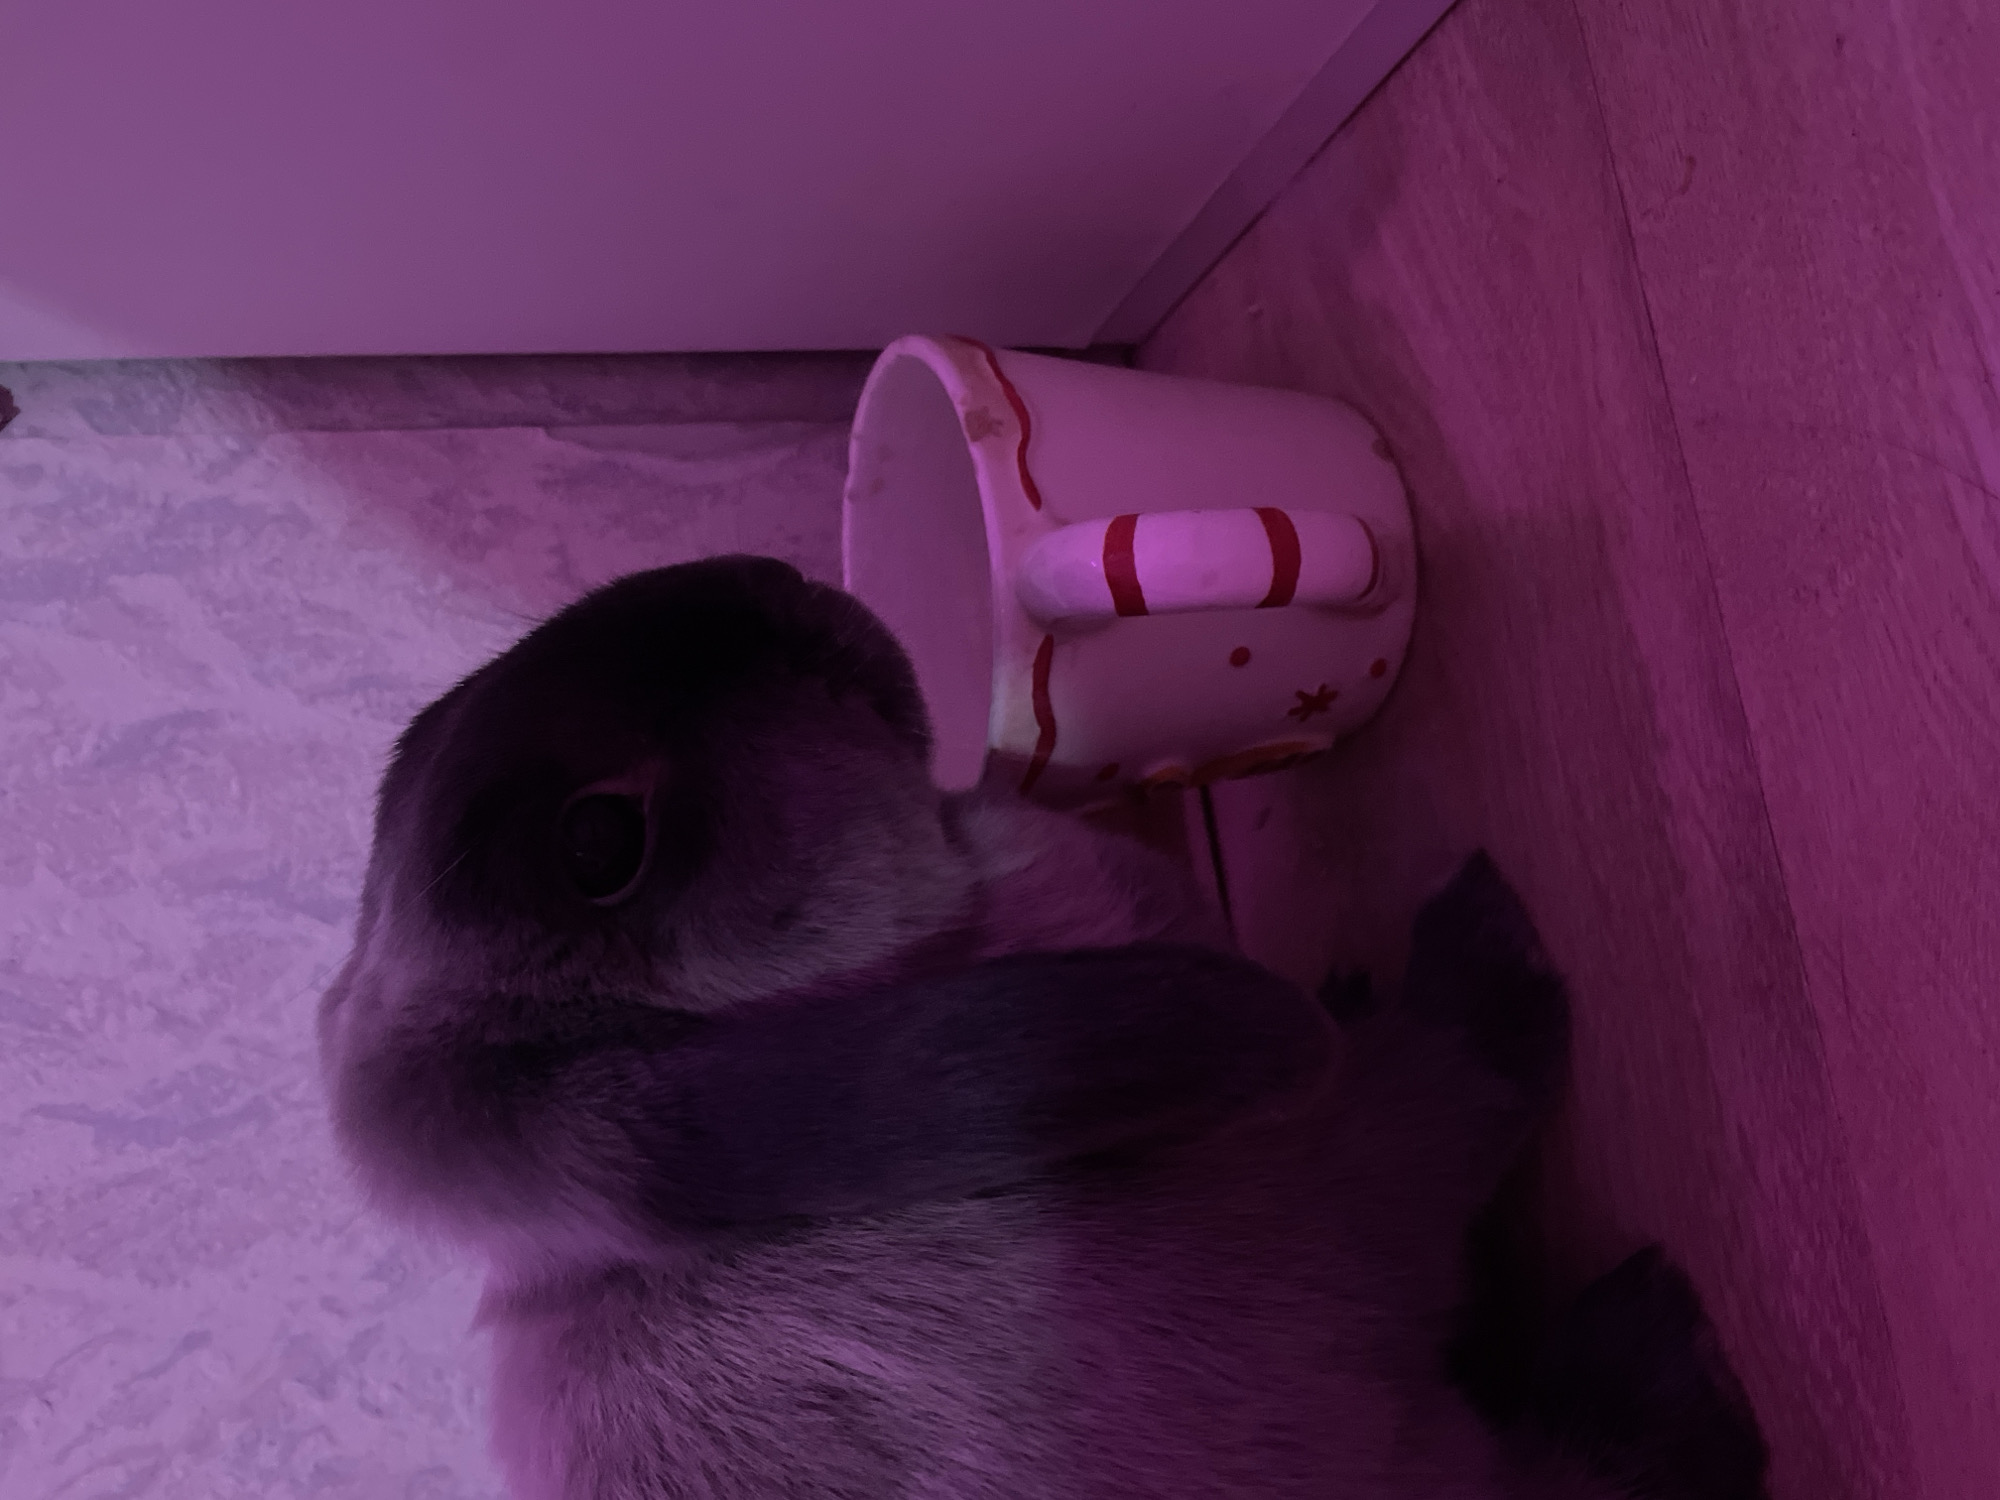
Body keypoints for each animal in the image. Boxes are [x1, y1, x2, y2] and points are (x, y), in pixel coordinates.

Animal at [318, 555, 1767, 1500]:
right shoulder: (1355, 1174)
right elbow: (1452, 1086)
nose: (762, 582)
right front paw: (1485, 936)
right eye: (597, 844)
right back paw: (1661, 1342)